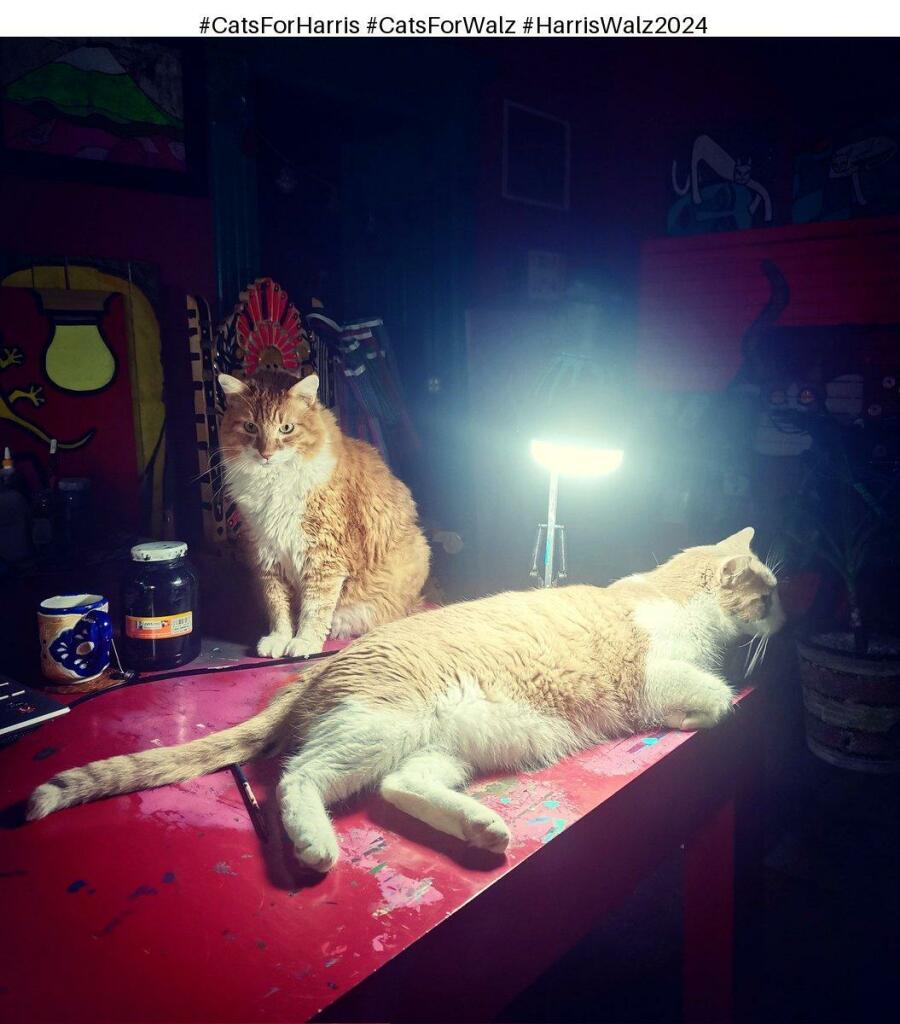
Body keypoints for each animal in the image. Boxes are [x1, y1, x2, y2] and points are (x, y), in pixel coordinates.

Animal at [217, 368, 430, 655]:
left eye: (286, 428)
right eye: (251, 427)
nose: (266, 454)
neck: (274, 483)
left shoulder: (323, 556)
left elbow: (315, 609)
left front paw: (304, 642)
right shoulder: (268, 555)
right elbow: (278, 607)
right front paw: (279, 639)